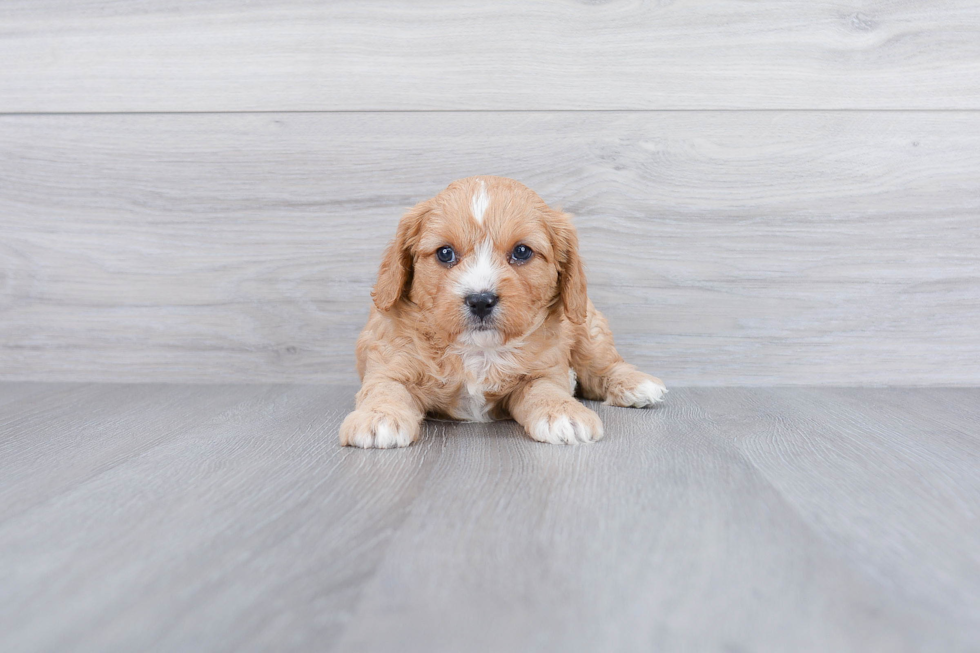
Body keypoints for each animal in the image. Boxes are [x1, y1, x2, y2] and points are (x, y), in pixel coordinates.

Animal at [338, 176, 668, 446]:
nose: (480, 300)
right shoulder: (389, 363)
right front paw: (378, 417)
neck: (478, 350)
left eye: (521, 251)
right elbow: (384, 389)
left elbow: (546, 389)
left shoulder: (544, 370)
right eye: (445, 253)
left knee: (602, 363)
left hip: (587, 325)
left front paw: (564, 413)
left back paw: (635, 384)